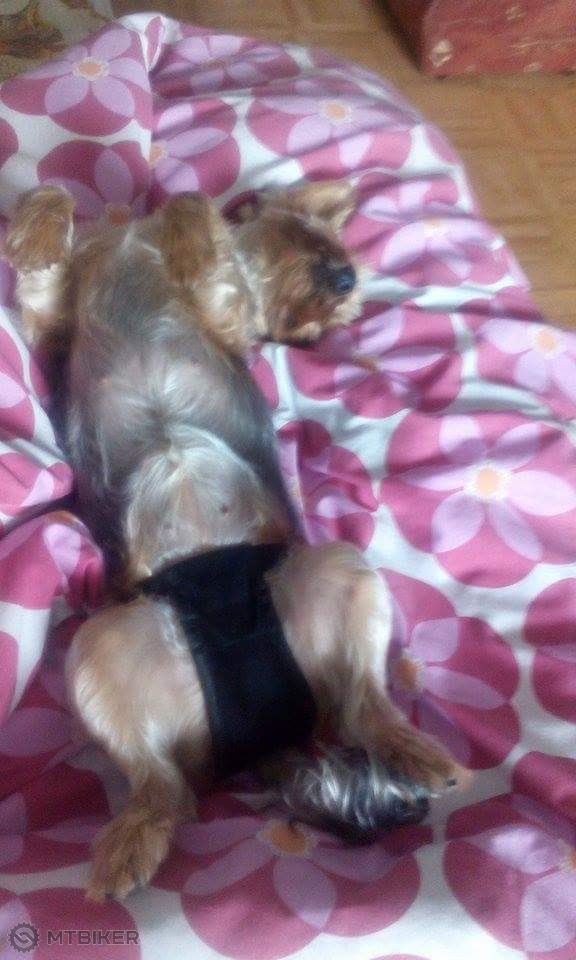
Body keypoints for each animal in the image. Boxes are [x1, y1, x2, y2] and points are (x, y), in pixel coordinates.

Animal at [5, 182, 462, 901]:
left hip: (338, 570)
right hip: (101, 651)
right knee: (164, 786)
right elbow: (49, 214)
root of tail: (264, 739)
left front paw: (187, 231)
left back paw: (418, 753)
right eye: (317, 240)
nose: (346, 278)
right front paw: (41, 230)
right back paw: (132, 841)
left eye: (321, 328)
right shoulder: (53, 319)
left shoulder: (226, 312)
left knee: (362, 704)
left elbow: (194, 214)